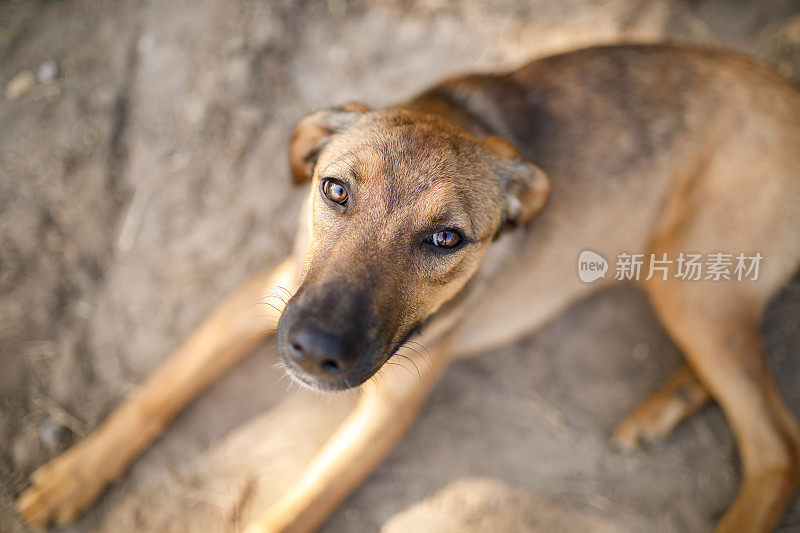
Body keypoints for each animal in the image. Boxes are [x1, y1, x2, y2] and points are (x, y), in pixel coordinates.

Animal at [17, 44, 800, 532]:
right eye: (334, 189)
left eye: (446, 239)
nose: (314, 351)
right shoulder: (264, 295)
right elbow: (153, 394)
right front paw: (72, 477)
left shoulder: (387, 409)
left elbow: (296, 508)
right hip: (693, 289)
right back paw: (663, 405)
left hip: (696, 282)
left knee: (776, 443)